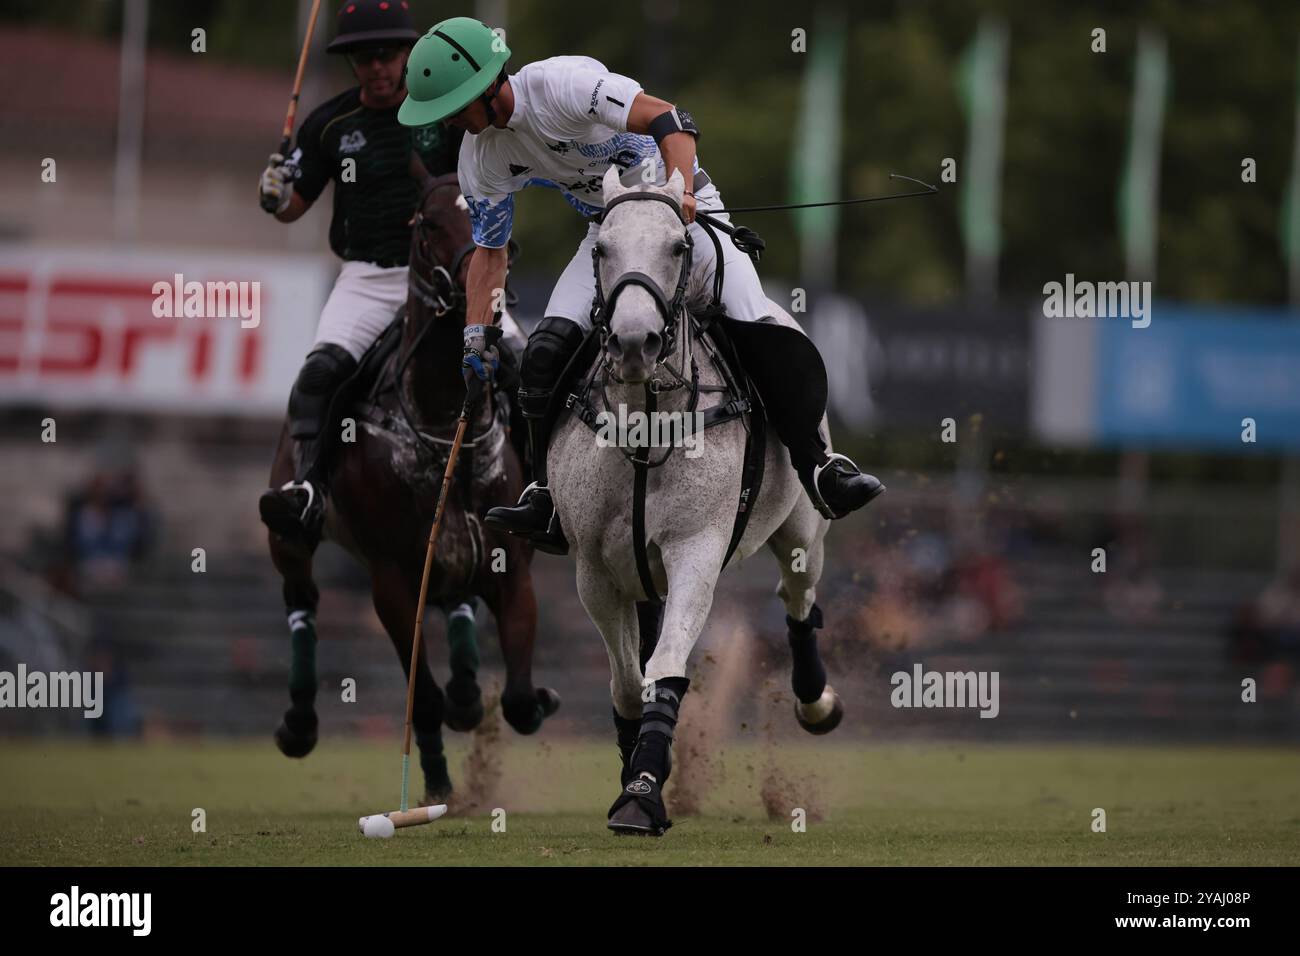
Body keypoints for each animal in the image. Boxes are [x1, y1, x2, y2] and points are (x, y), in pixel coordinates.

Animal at [266, 170, 556, 801]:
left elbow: (520, 700)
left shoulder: (512, 569)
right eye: (427, 224)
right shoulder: (391, 579)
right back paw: (298, 723)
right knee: (301, 596)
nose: (487, 296)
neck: (446, 421)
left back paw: (468, 693)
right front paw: (438, 786)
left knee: (458, 606)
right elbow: (421, 698)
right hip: (288, 532)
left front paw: (530, 697)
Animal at [548, 167, 842, 832]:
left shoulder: (696, 550)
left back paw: (816, 702)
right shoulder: (593, 570)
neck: (645, 425)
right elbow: (628, 683)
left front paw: (642, 794)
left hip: (802, 529)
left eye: (679, 247)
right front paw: (635, 776)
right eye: (601, 250)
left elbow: (665, 670)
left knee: (798, 597)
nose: (634, 342)